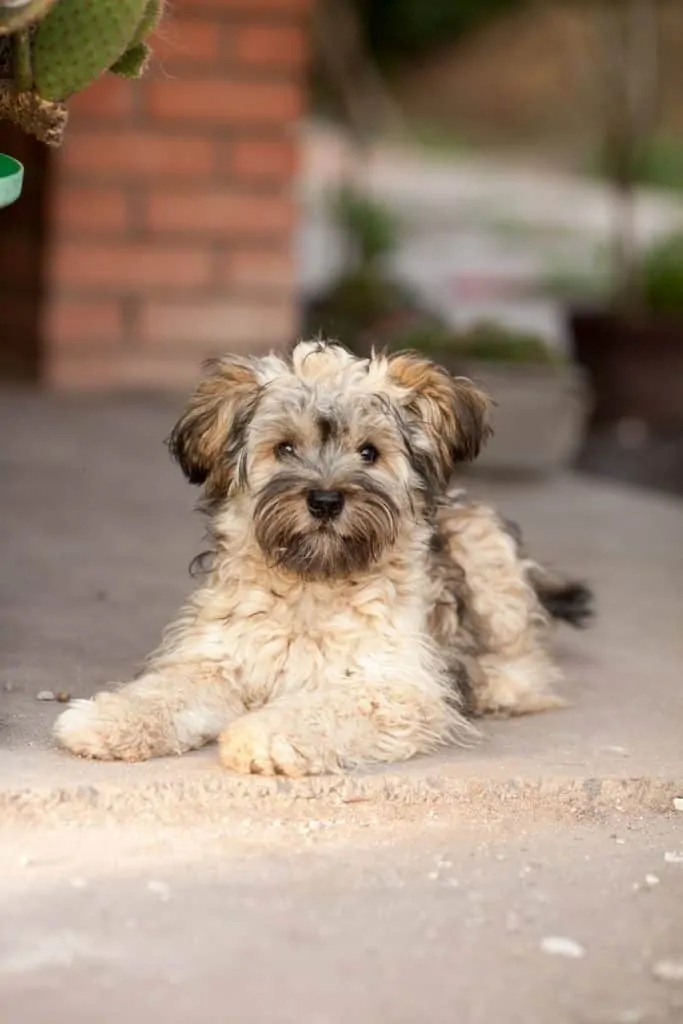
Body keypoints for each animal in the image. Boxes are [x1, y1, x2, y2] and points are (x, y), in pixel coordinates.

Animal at [53, 339, 589, 770]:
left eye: (369, 452)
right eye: (285, 448)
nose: (326, 500)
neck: (311, 588)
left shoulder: (392, 687)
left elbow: (318, 708)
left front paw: (261, 737)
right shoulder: (217, 660)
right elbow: (163, 692)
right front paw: (106, 719)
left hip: (488, 561)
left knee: (527, 655)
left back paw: (496, 686)